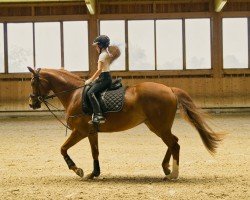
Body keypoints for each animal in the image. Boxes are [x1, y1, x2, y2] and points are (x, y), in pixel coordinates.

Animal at [27, 67, 223, 180]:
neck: (74, 95)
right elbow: (95, 152)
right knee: (173, 142)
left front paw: (77, 170)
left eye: (33, 82)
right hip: (156, 126)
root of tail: (169, 89)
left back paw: (173, 173)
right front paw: (94, 173)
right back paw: (166, 168)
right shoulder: (91, 132)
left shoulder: (80, 131)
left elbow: (62, 149)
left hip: (159, 126)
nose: (32, 103)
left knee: (174, 144)